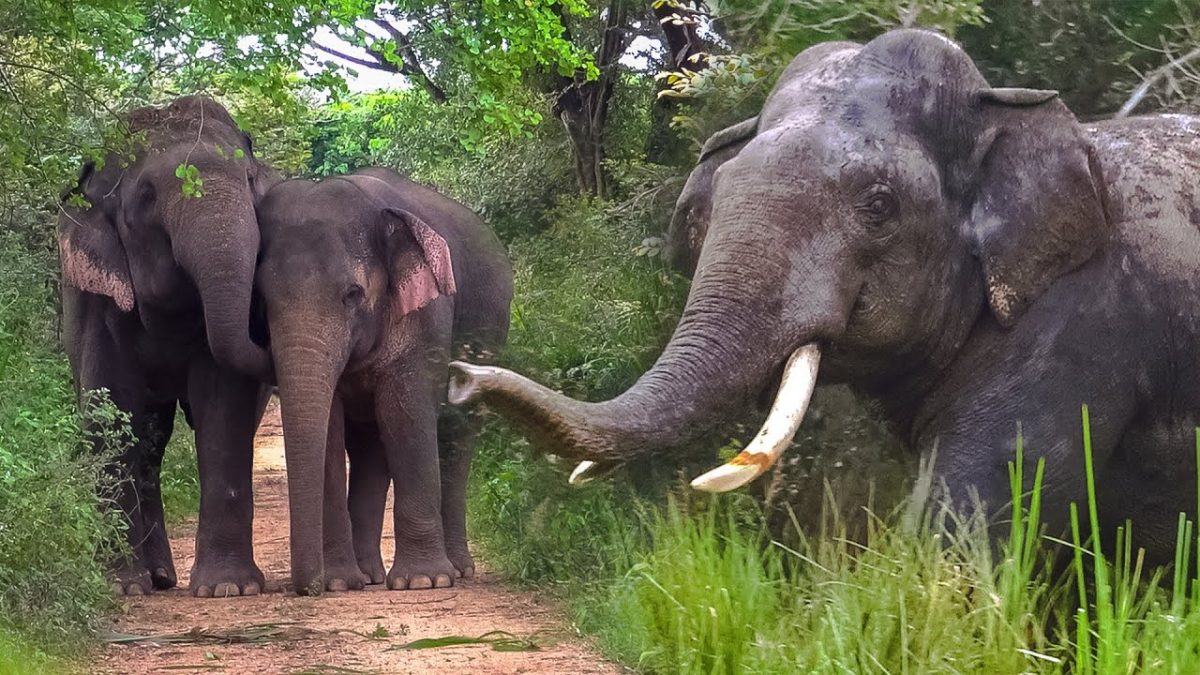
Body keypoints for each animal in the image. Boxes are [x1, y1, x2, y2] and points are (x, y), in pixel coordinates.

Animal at [62, 96, 276, 593]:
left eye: (250, 183)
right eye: (146, 196)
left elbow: (224, 409)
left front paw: (227, 589)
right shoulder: (99, 300)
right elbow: (110, 408)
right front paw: (122, 586)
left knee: (153, 442)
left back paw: (162, 576)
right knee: (144, 441)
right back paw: (153, 578)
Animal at [258, 168, 511, 593]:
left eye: (352, 294)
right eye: (260, 299)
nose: (308, 588)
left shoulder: (426, 316)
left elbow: (405, 413)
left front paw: (424, 581)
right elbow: (331, 428)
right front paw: (340, 583)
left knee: (455, 438)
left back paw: (458, 570)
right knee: (370, 450)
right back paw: (368, 576)